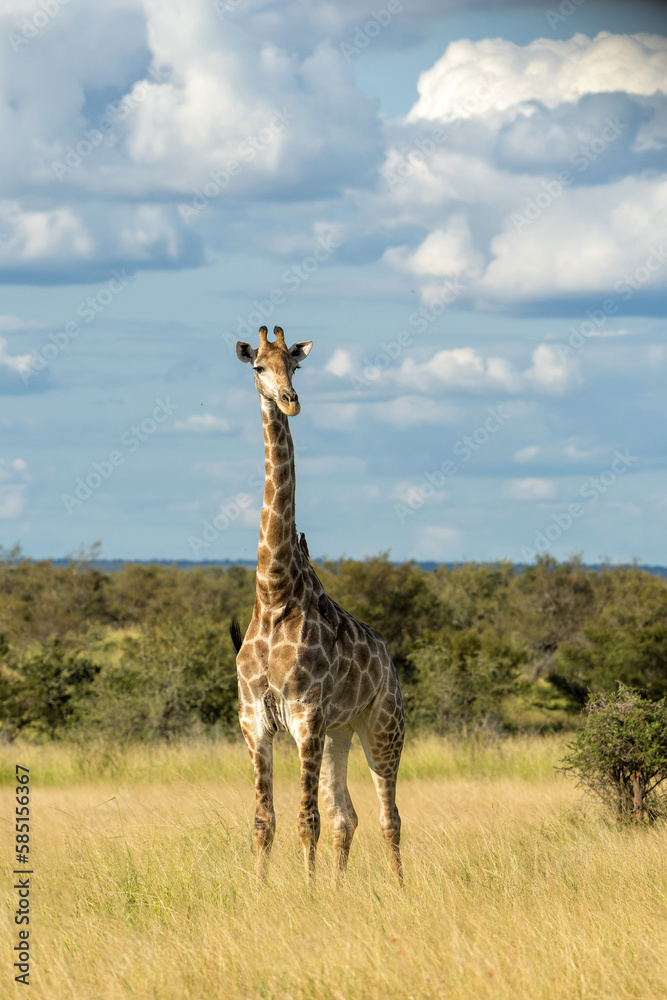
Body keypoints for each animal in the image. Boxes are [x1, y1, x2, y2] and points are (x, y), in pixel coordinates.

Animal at [231, 325, 404, 883]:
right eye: (258, 367)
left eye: (296, 365)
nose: (290, 399)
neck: (274, 594)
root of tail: (389, 659)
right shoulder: (255, 721)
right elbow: (265, 820)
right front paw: (265, 891)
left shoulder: (305, 715)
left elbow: (305, 819)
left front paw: (305, 895)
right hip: (340, 734)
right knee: (345, 815)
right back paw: (336, 886)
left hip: (382, 726)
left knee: (388, 815)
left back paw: (399, 888)